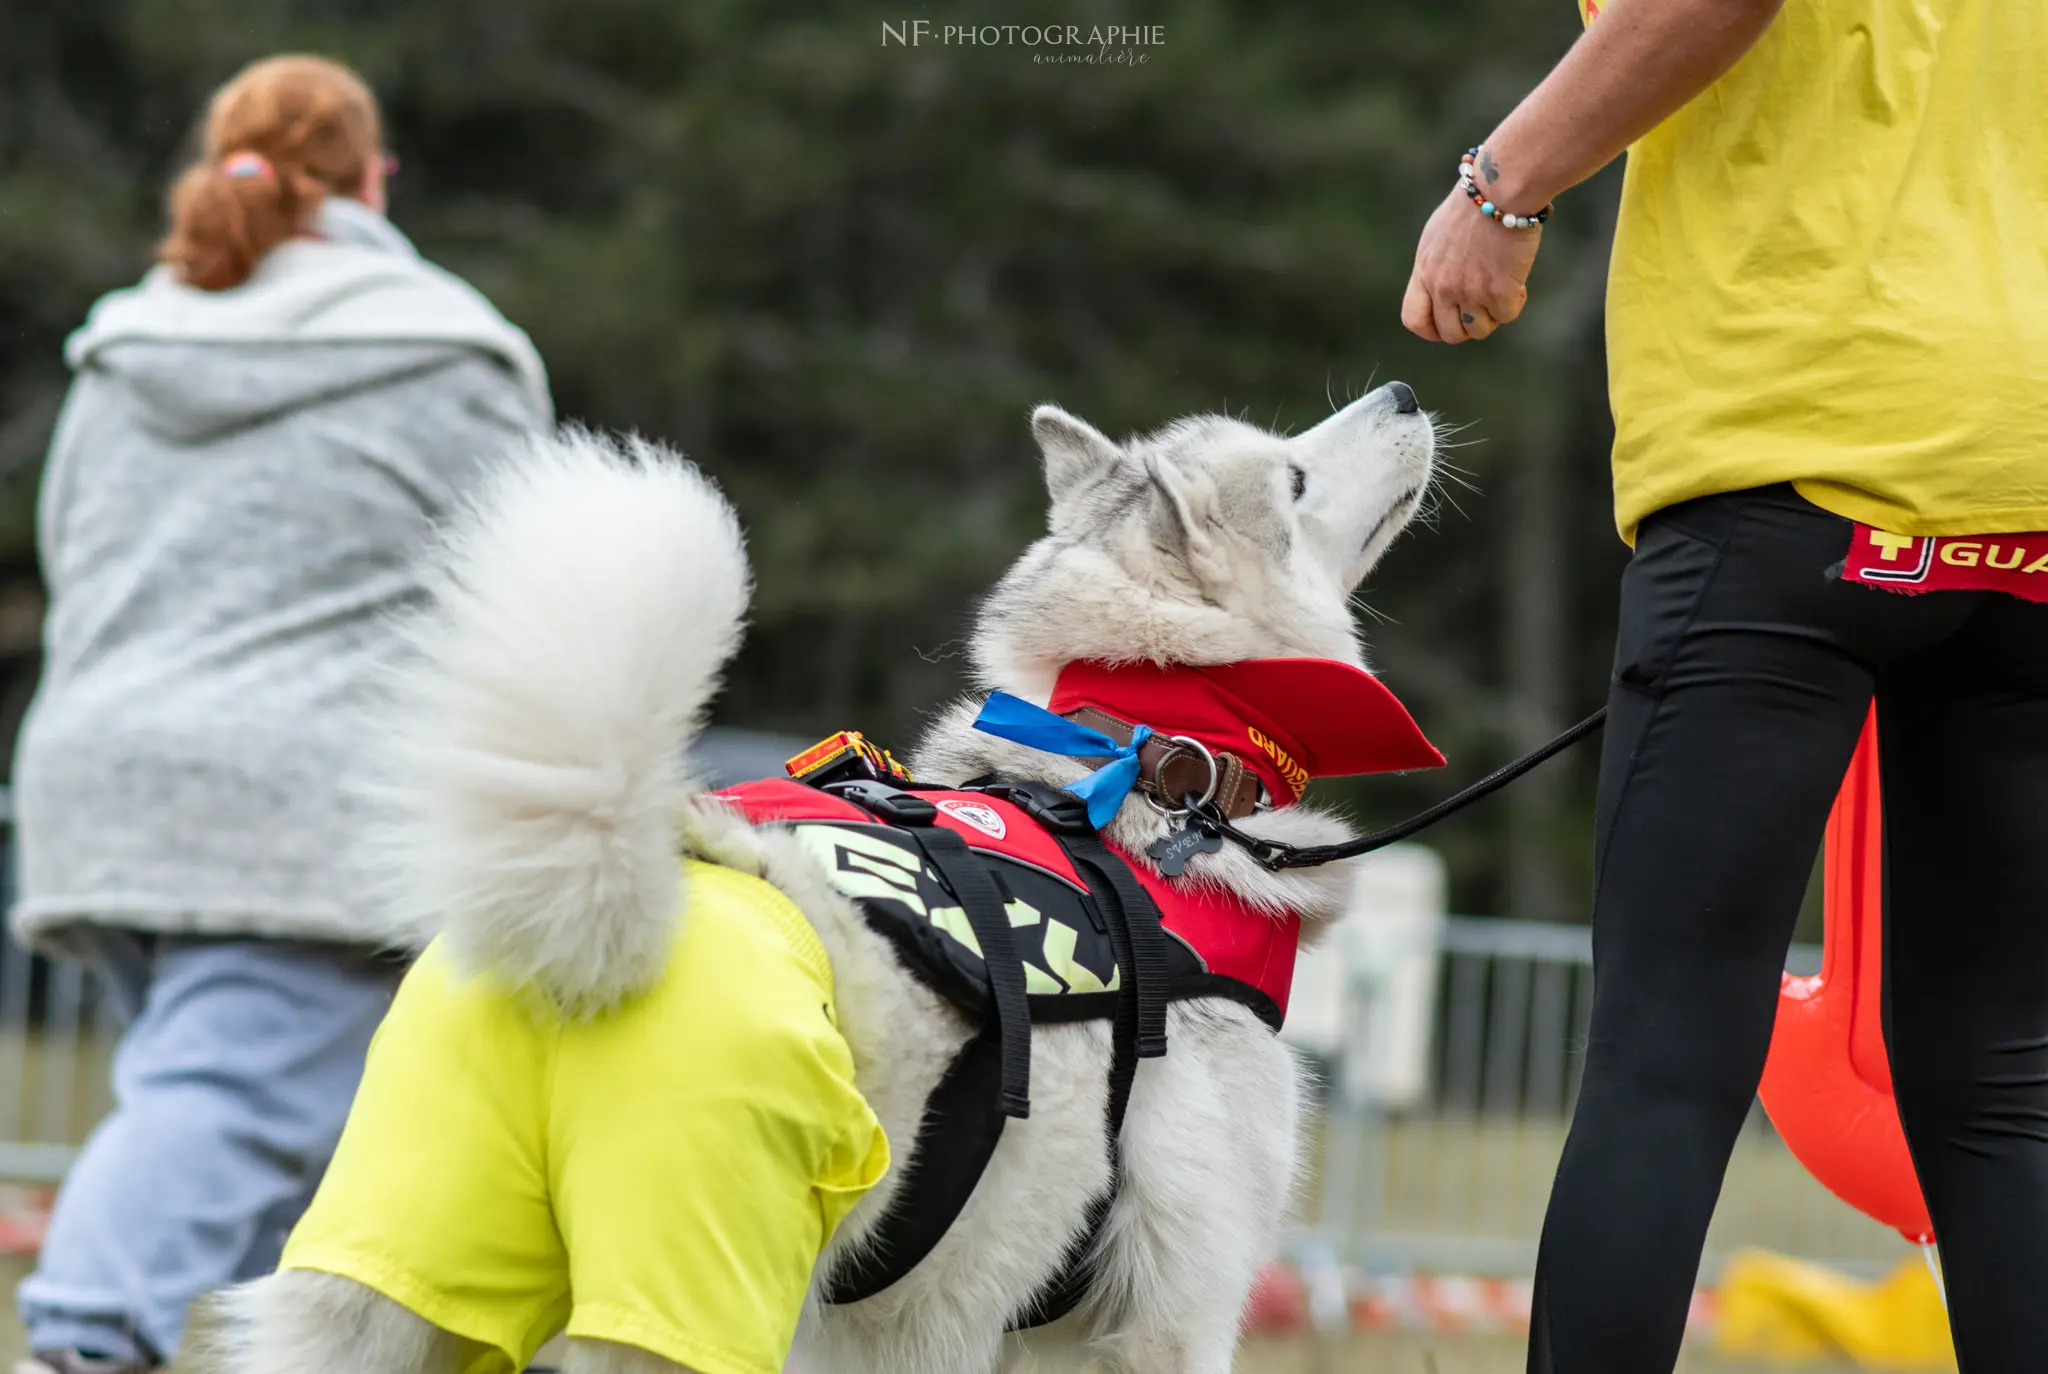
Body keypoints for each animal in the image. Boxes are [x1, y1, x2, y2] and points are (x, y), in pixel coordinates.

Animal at [216, 378, 1441, 1374]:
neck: (1143, 768)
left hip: (391, 1289)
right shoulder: (1168, 1320)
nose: (1406, 387)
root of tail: (602, 933)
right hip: (696, 1297)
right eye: (1292, 477)